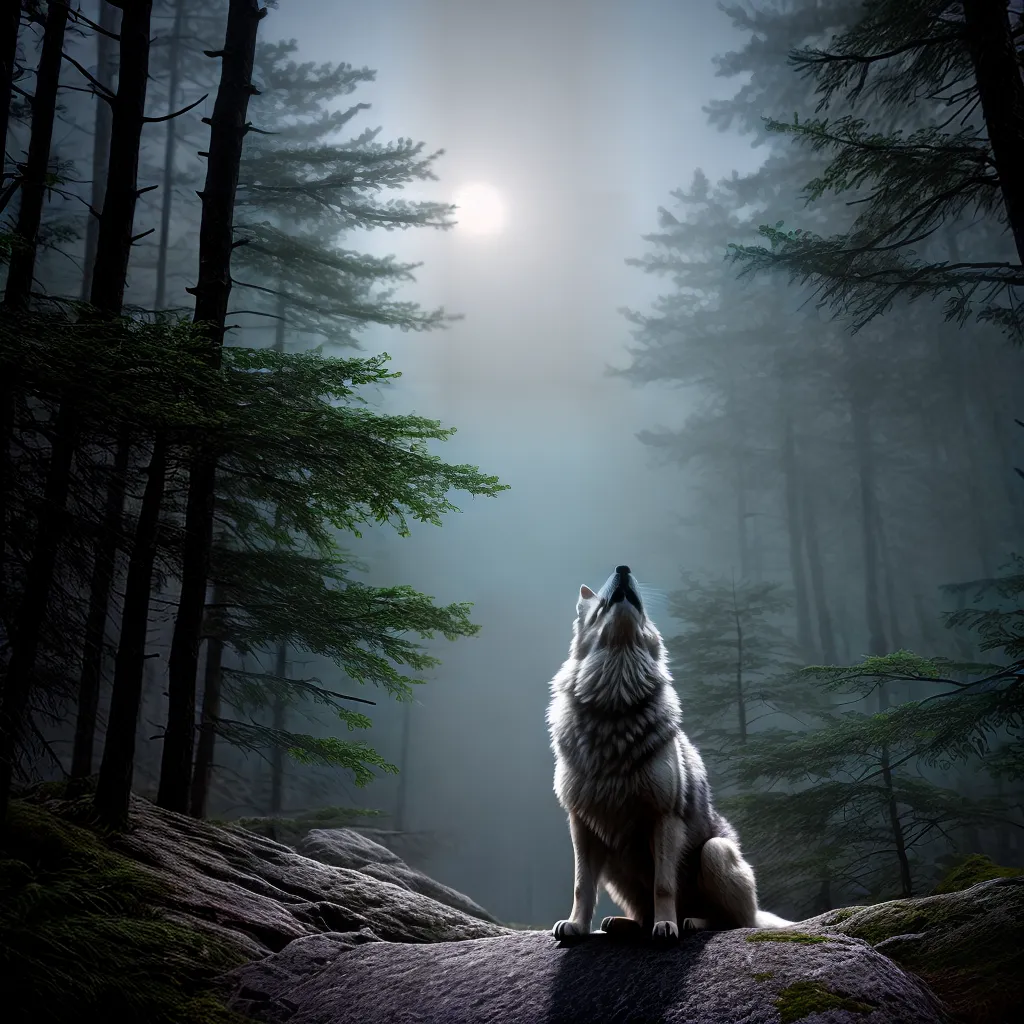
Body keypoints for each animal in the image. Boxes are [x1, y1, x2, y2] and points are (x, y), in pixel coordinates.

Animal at [546, 565, 791, 941]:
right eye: (601, 606)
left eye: (641, 608)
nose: (623, 568)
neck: (615, 705)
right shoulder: (581, 824)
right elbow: (581, 885)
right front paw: (575, 925)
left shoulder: (665, 819)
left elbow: (663, 884)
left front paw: (666, 926)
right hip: (616, 867)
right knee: (639, 912)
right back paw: (622, 924)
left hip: (715, 853)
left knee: (736, 922)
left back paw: (690, 922)